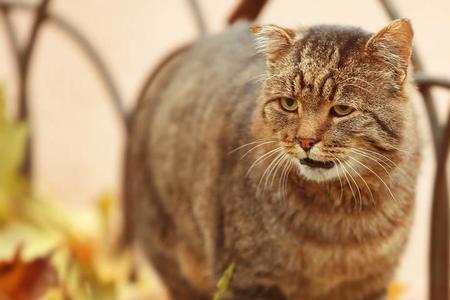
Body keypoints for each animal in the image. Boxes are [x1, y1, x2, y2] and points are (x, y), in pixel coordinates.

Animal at [123, 18, 418, 300]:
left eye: (342, 110)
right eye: (289, 103)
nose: (305, 141)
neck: (338, 219)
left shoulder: (369, 285)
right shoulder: (248, 279)